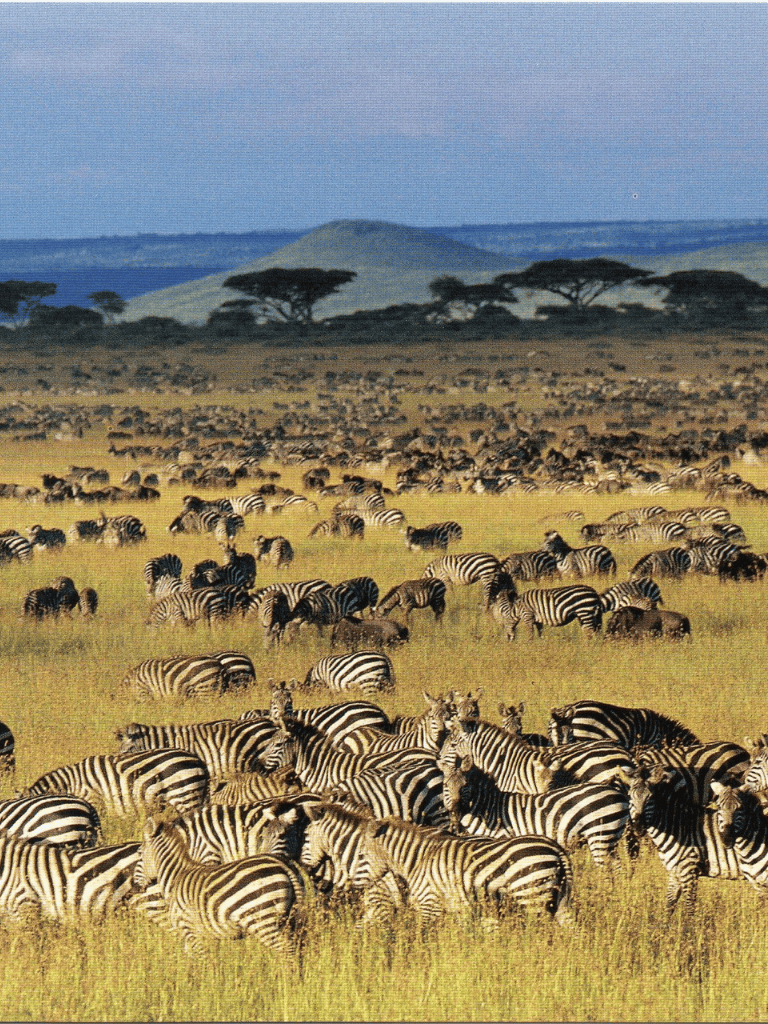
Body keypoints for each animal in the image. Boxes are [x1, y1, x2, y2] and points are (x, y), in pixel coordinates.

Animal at [137, 817, 308, 957]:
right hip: (290, 920)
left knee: (287, 950)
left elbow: (202, 962)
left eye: (140, 855)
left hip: (263, 920)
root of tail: (282, 864)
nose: (136, 886)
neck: (175, 877)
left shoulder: (190, 931)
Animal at [359, 815, 574, 926]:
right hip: (560, 898)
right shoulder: (458, 909)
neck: (416, 860)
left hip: (531, 895)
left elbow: (425, 938)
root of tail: (555, 847)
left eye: (360, 855)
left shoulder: (429, 903)